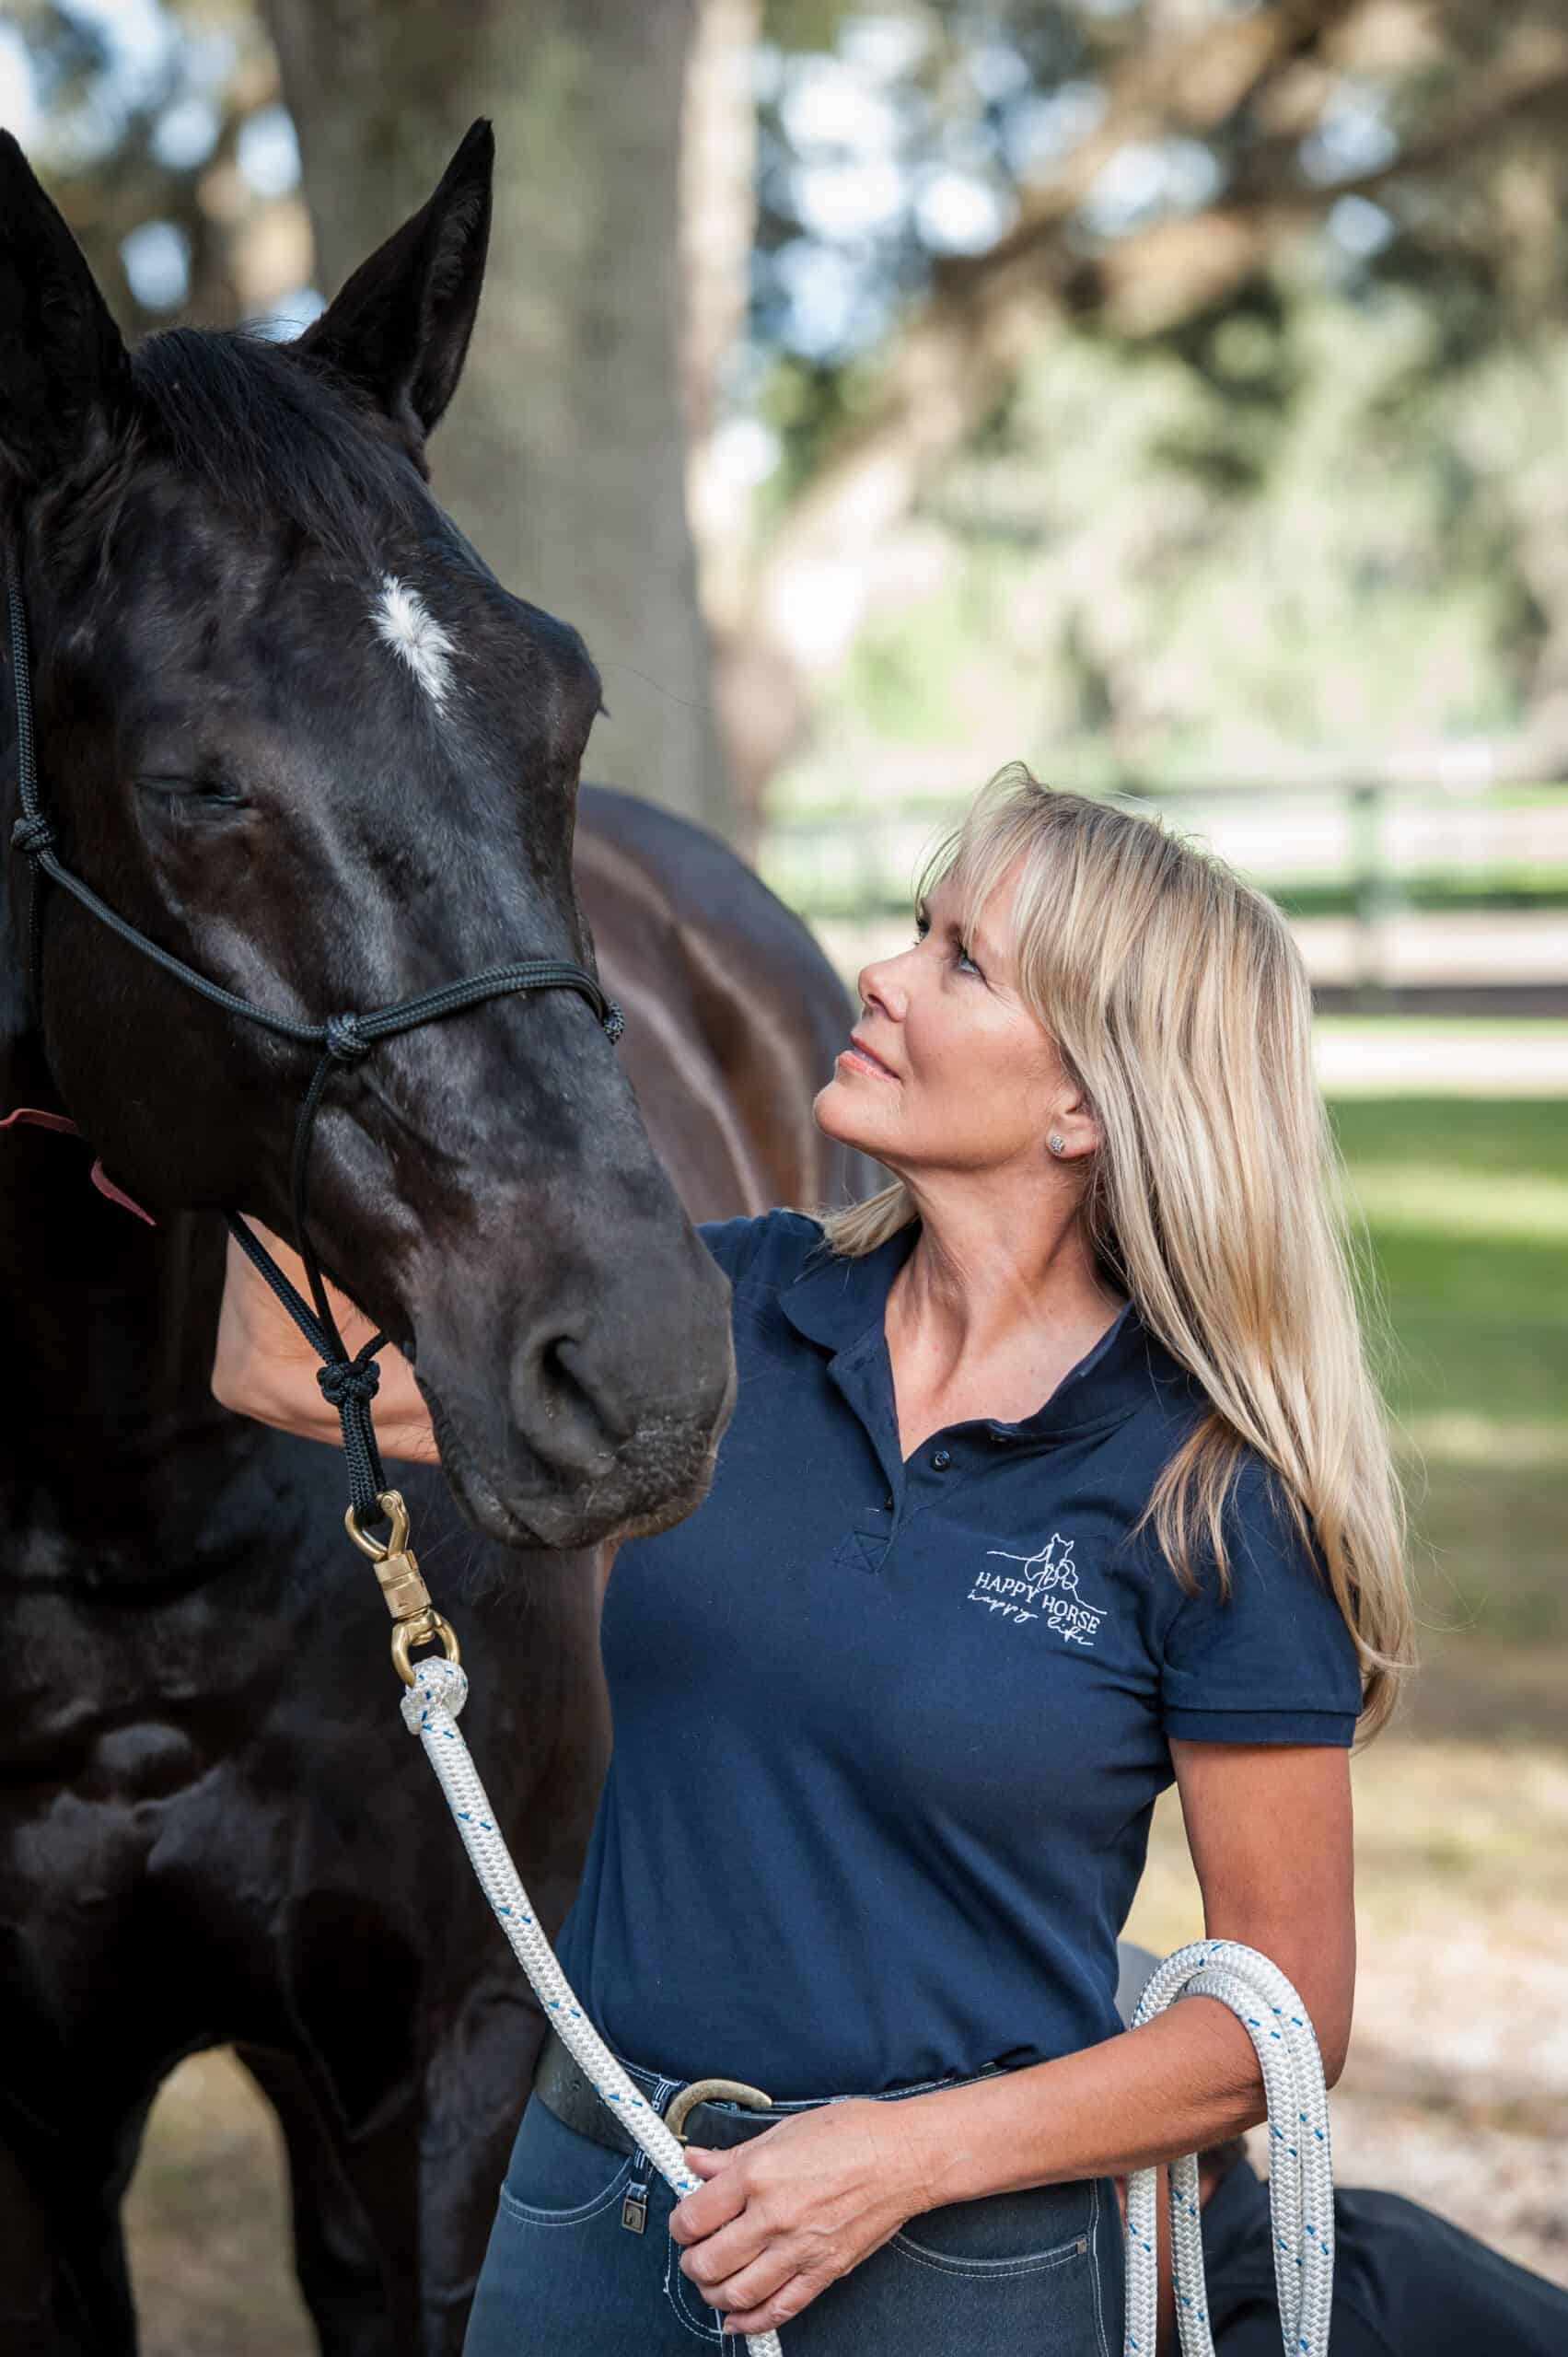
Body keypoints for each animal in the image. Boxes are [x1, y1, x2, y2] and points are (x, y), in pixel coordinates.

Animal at [0, 123, 862, 2353]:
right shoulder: (32, 2121)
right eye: (193, 777)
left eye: (562, 703)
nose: (639, 1372)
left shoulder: (456, 2061)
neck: (122, 1516)